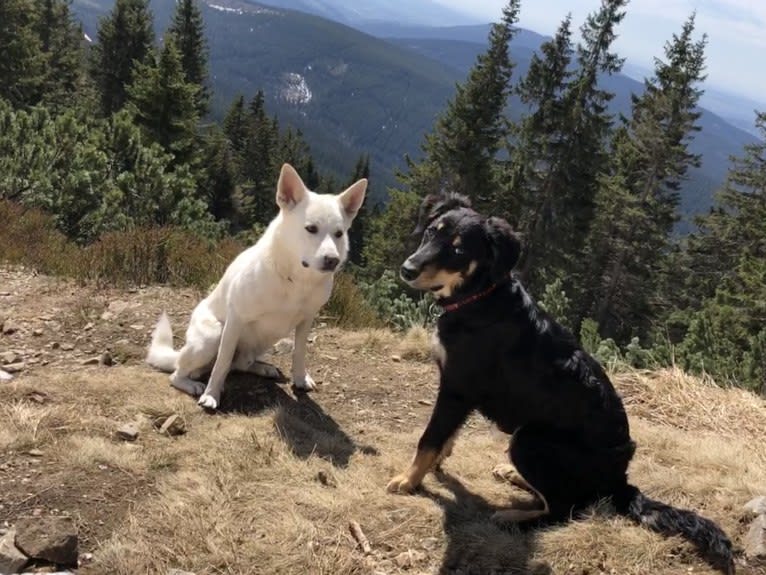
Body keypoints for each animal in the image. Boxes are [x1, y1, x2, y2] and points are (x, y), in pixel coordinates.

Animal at [149, 163, 368, 410]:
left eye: (339, 234)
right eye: (311, 228)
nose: (332, 260)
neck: (297, 280)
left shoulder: (306, 320)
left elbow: (299, 353)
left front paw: (300, 379)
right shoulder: (235, 319)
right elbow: (222, 362)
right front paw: (212, 394)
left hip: (261, 343)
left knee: (240, 364)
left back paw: (263, 368)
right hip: (211, 337)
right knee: (180, 372)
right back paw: (193, 384)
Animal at [390, 195, 736, 575]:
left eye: (457, 251)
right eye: (430, 232)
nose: (407, 269)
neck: (479, 298)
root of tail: (620, 481)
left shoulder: (456, 388)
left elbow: (429, 438)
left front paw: (409, 480)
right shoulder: (459, 391)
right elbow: (446, 436)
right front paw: (435, 466)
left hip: (529, 439)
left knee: (565, 509)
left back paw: (512, 517)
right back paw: (514, 476)